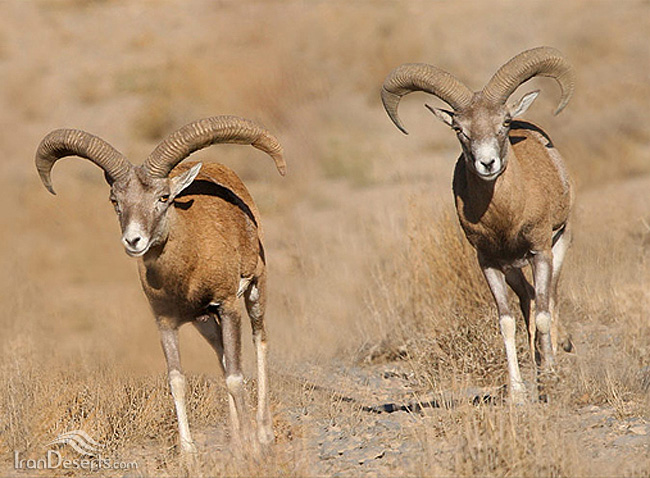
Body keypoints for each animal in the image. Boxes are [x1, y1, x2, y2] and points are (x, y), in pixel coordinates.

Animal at [35, 115, 286, 452]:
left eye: (163, 198)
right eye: (115, 200)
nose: (133, 240)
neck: (188, 267)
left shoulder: (228, 306)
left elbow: (235, 377)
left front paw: (251, 449)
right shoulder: (167, 322)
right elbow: (178, 380)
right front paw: (190, 453)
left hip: (256, 292)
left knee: (260, 341)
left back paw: (263, 432)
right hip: (206, 322)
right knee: (221, 356)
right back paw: (234, 435)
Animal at [381, 47, 575, 402]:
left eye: (505, 122)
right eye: (459, 129)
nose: (487, 163)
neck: (506, 217)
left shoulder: (540, 251)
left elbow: (543, 315)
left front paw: (550, 385)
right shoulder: (489, 262)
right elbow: (507, 322)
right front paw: (517, 395)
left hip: (559, 247)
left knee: (549, 301)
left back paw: (551, 367)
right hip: (514, 269)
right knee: (528, 301)